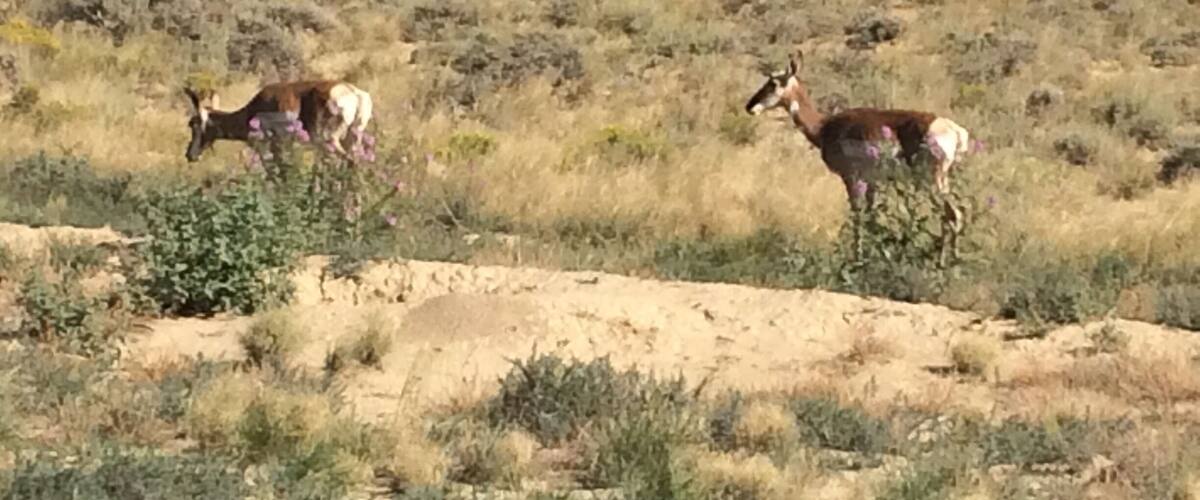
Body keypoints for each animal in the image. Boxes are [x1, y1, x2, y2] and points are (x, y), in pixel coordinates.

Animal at [183, 80, 374, 164]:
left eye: (193, 124)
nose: (190, 155)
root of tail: (353, 91)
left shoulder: (271, 148)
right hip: (351, 139)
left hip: (329, 142)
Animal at [744, 50, 972, 266]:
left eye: (773, 83)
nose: (749, 106)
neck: (825, 127)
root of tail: (951, 128)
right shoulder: (872, 182)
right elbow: (871, 216)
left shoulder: (851, 178)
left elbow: (858, 215)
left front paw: (859, 258)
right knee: (954, 213)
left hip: (930, 182)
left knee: (951, 213)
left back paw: (943, 261)